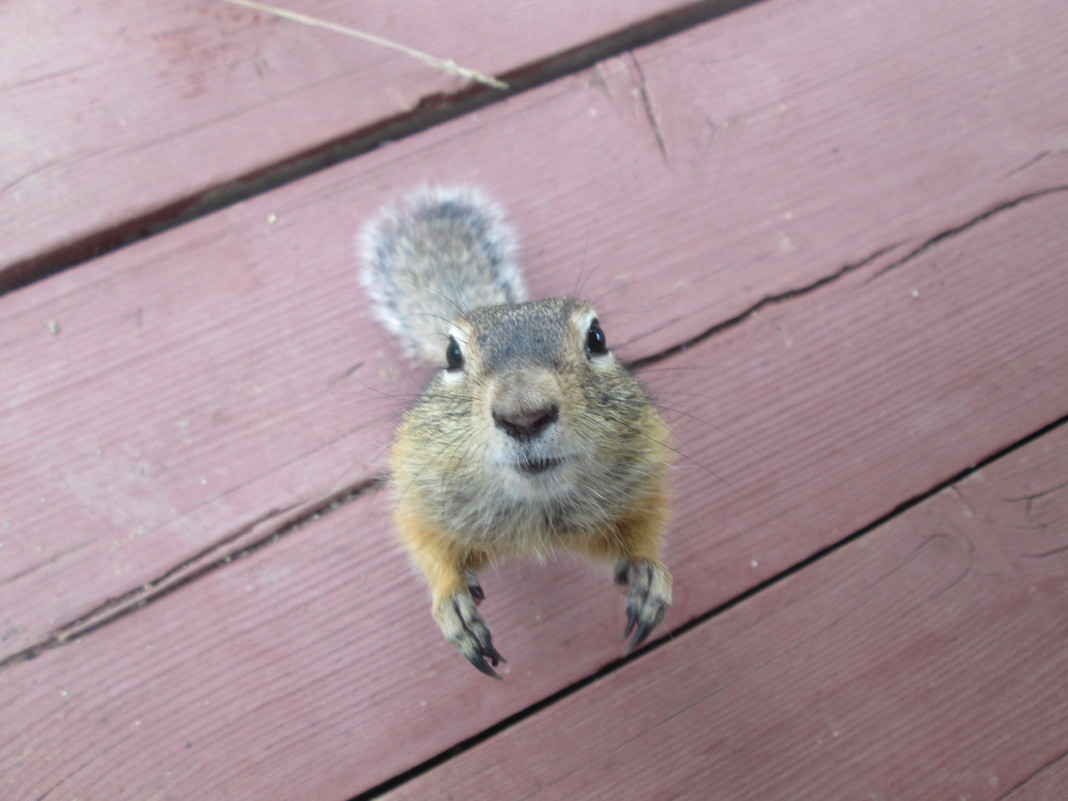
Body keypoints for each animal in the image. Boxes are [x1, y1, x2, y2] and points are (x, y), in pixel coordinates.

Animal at [363, 186, 670, 679]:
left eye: (598, 338)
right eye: (451, 355)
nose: (524, 415)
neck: (535, 508)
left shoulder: (642, 478)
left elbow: (641, 530)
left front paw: (647, 575)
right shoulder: (419, 491)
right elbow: (427, 546)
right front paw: (454, 606)